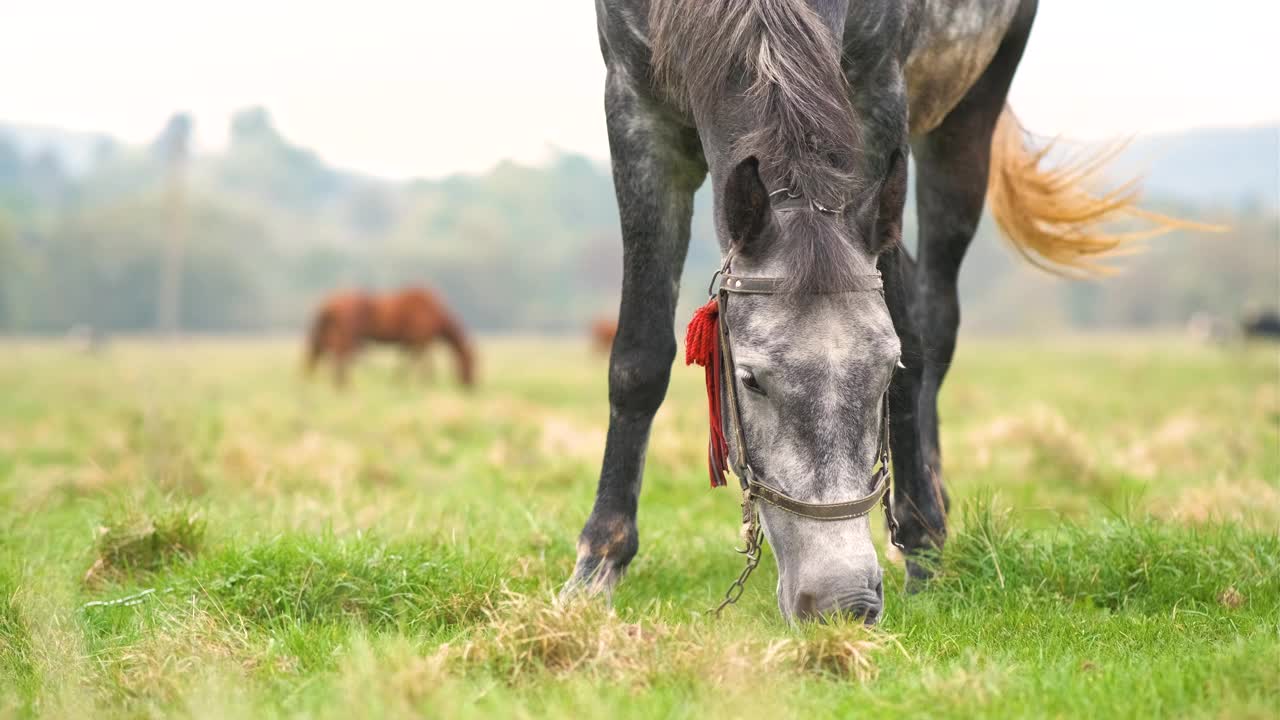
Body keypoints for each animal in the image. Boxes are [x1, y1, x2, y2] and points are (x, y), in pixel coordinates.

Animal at [307, 285, 478, 386]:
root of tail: (328, 304)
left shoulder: (411, 343)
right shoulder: (421, 341)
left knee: (325, 357)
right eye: (471, 361)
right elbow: (423, 364)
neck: (436, 314)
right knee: (338, 359)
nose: (471, 385)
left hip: (332, 336)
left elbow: (406, 363)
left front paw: (399, 382)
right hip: (346, 337)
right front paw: (427, 383)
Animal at [570, 0, 1187, 622]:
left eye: (885, 372)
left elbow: (911, 340)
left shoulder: (879, 103)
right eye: (749, 380)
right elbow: (640, 359)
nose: (843, 601)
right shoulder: (635, 113)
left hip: (967, 121)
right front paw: (598, 564)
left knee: (935, 313)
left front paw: (923, 549)